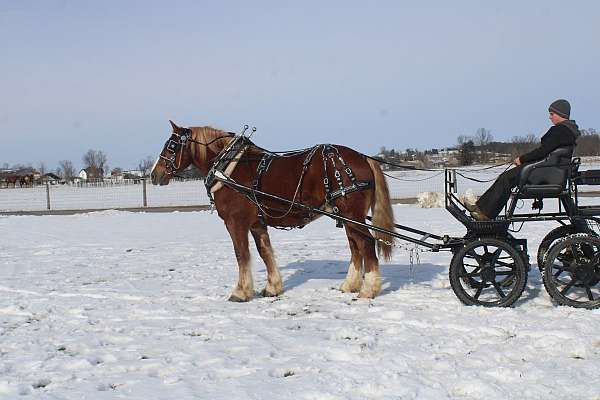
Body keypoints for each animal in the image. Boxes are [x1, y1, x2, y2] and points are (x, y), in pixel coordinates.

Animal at [150, 120, 396, 302]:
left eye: (171, 146)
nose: (155, 174)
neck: (228, 168)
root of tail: (363, 157)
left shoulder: (235, 222)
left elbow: (242, 254)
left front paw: (241, 292)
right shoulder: (257, 223)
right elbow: (265, 252)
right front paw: (272, 287)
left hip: (352, 215)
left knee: (366, 244)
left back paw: (368, 289)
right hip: (346, 216)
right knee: (355, 246)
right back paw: (349, 285)